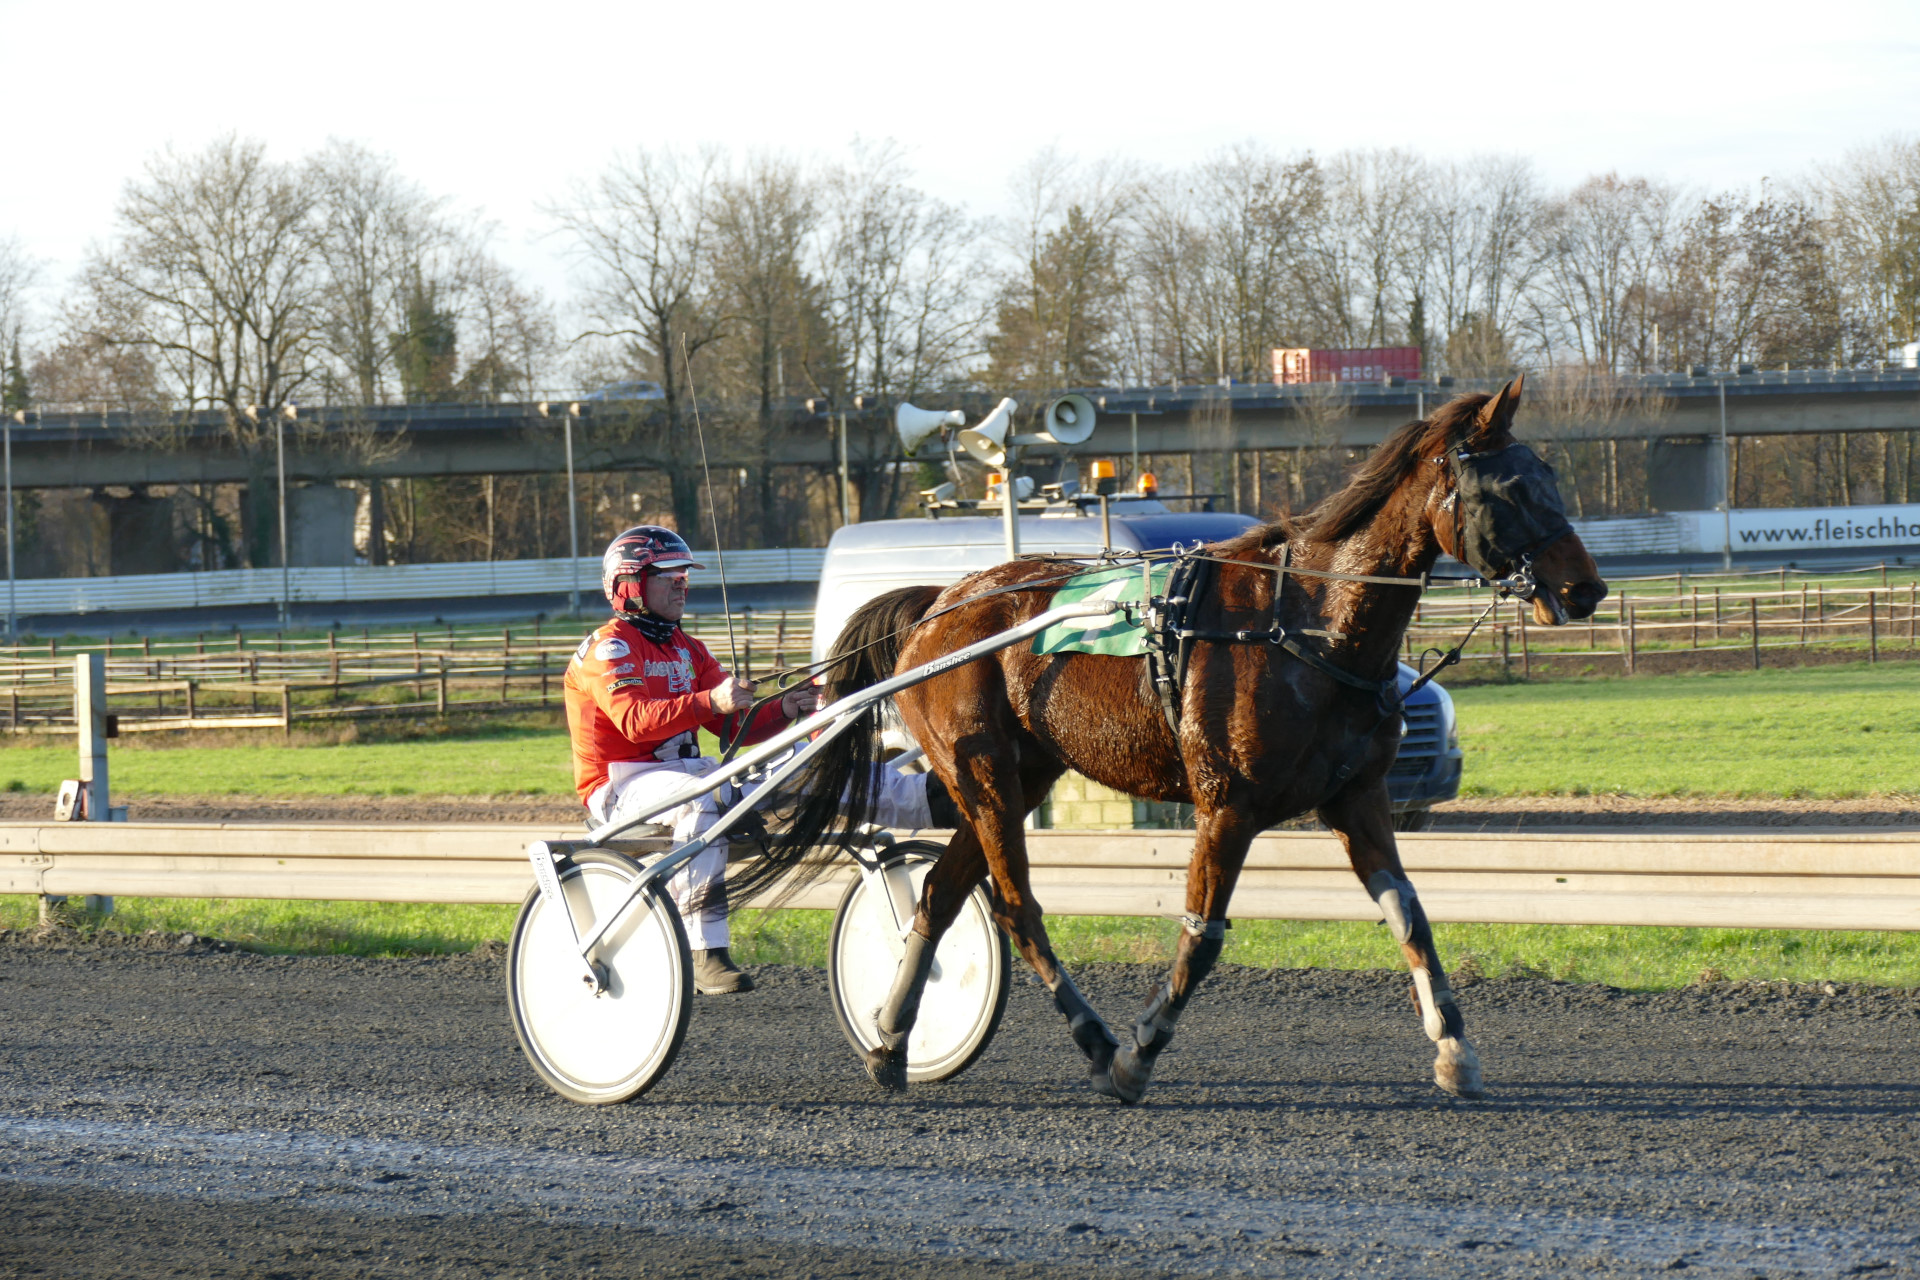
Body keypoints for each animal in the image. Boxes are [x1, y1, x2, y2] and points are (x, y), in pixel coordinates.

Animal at [780, 377, 1606, 1103]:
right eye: (1509, 488)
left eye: (1549, 476)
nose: (1586, 588)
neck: (1306, 624)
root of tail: (940, 602)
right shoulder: (1226, 805)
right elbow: (1203, 936)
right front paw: (1138, 1053)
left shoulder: (1356, 796)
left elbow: (1410, 913)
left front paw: (1454, 1049)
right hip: (980, 773)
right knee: (1015, 909)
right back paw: (1094, 1041)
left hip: (1018, 774)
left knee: (941, 894)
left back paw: (891, 1042)